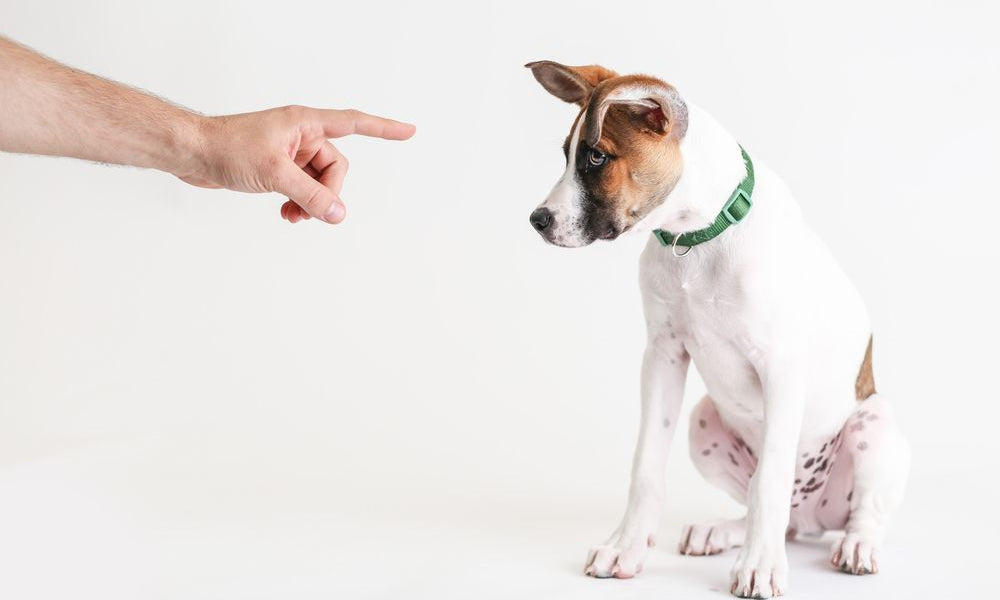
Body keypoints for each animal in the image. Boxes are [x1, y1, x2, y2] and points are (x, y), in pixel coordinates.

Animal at [528, 59, 912, 596]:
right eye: (566, 156)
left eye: (598, 158)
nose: (537, 219)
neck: (695, 238)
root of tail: (813, 516)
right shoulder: (663, 356)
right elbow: (646, 466)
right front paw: (626, 546)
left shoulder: (781, 367)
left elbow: (770, 480)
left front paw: (761, 567)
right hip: (703, 420)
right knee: (770, 512)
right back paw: (723, 532)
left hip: (874, 427)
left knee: (857, 513)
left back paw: (854, 545)